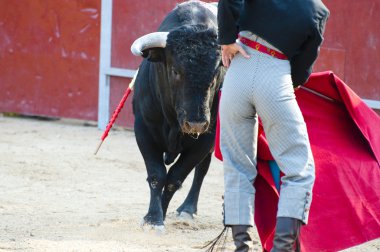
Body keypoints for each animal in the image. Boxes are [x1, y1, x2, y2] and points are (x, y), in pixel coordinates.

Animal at [131, 0, 226, 228]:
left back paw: (188, 209)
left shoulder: (206, 138)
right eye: (175, 71)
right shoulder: (143, 130)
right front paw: (152, 218)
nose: (196, 123)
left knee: (202, 170)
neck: (173, 123)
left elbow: (175, 178)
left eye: (216, 73)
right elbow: (157, 175)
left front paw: (160, 215)